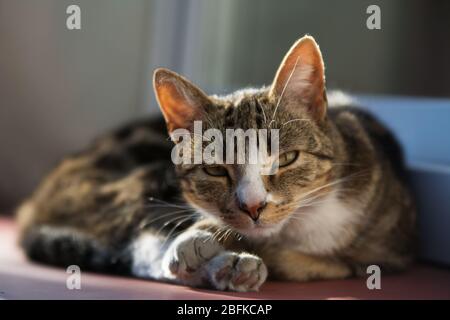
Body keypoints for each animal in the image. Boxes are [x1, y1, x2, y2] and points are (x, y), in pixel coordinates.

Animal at [14, 35, 414, 292]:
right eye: (215, 169)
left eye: (286, 158)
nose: (253, 207)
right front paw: (205, 242)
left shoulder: (384, 252)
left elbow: (321, 260)